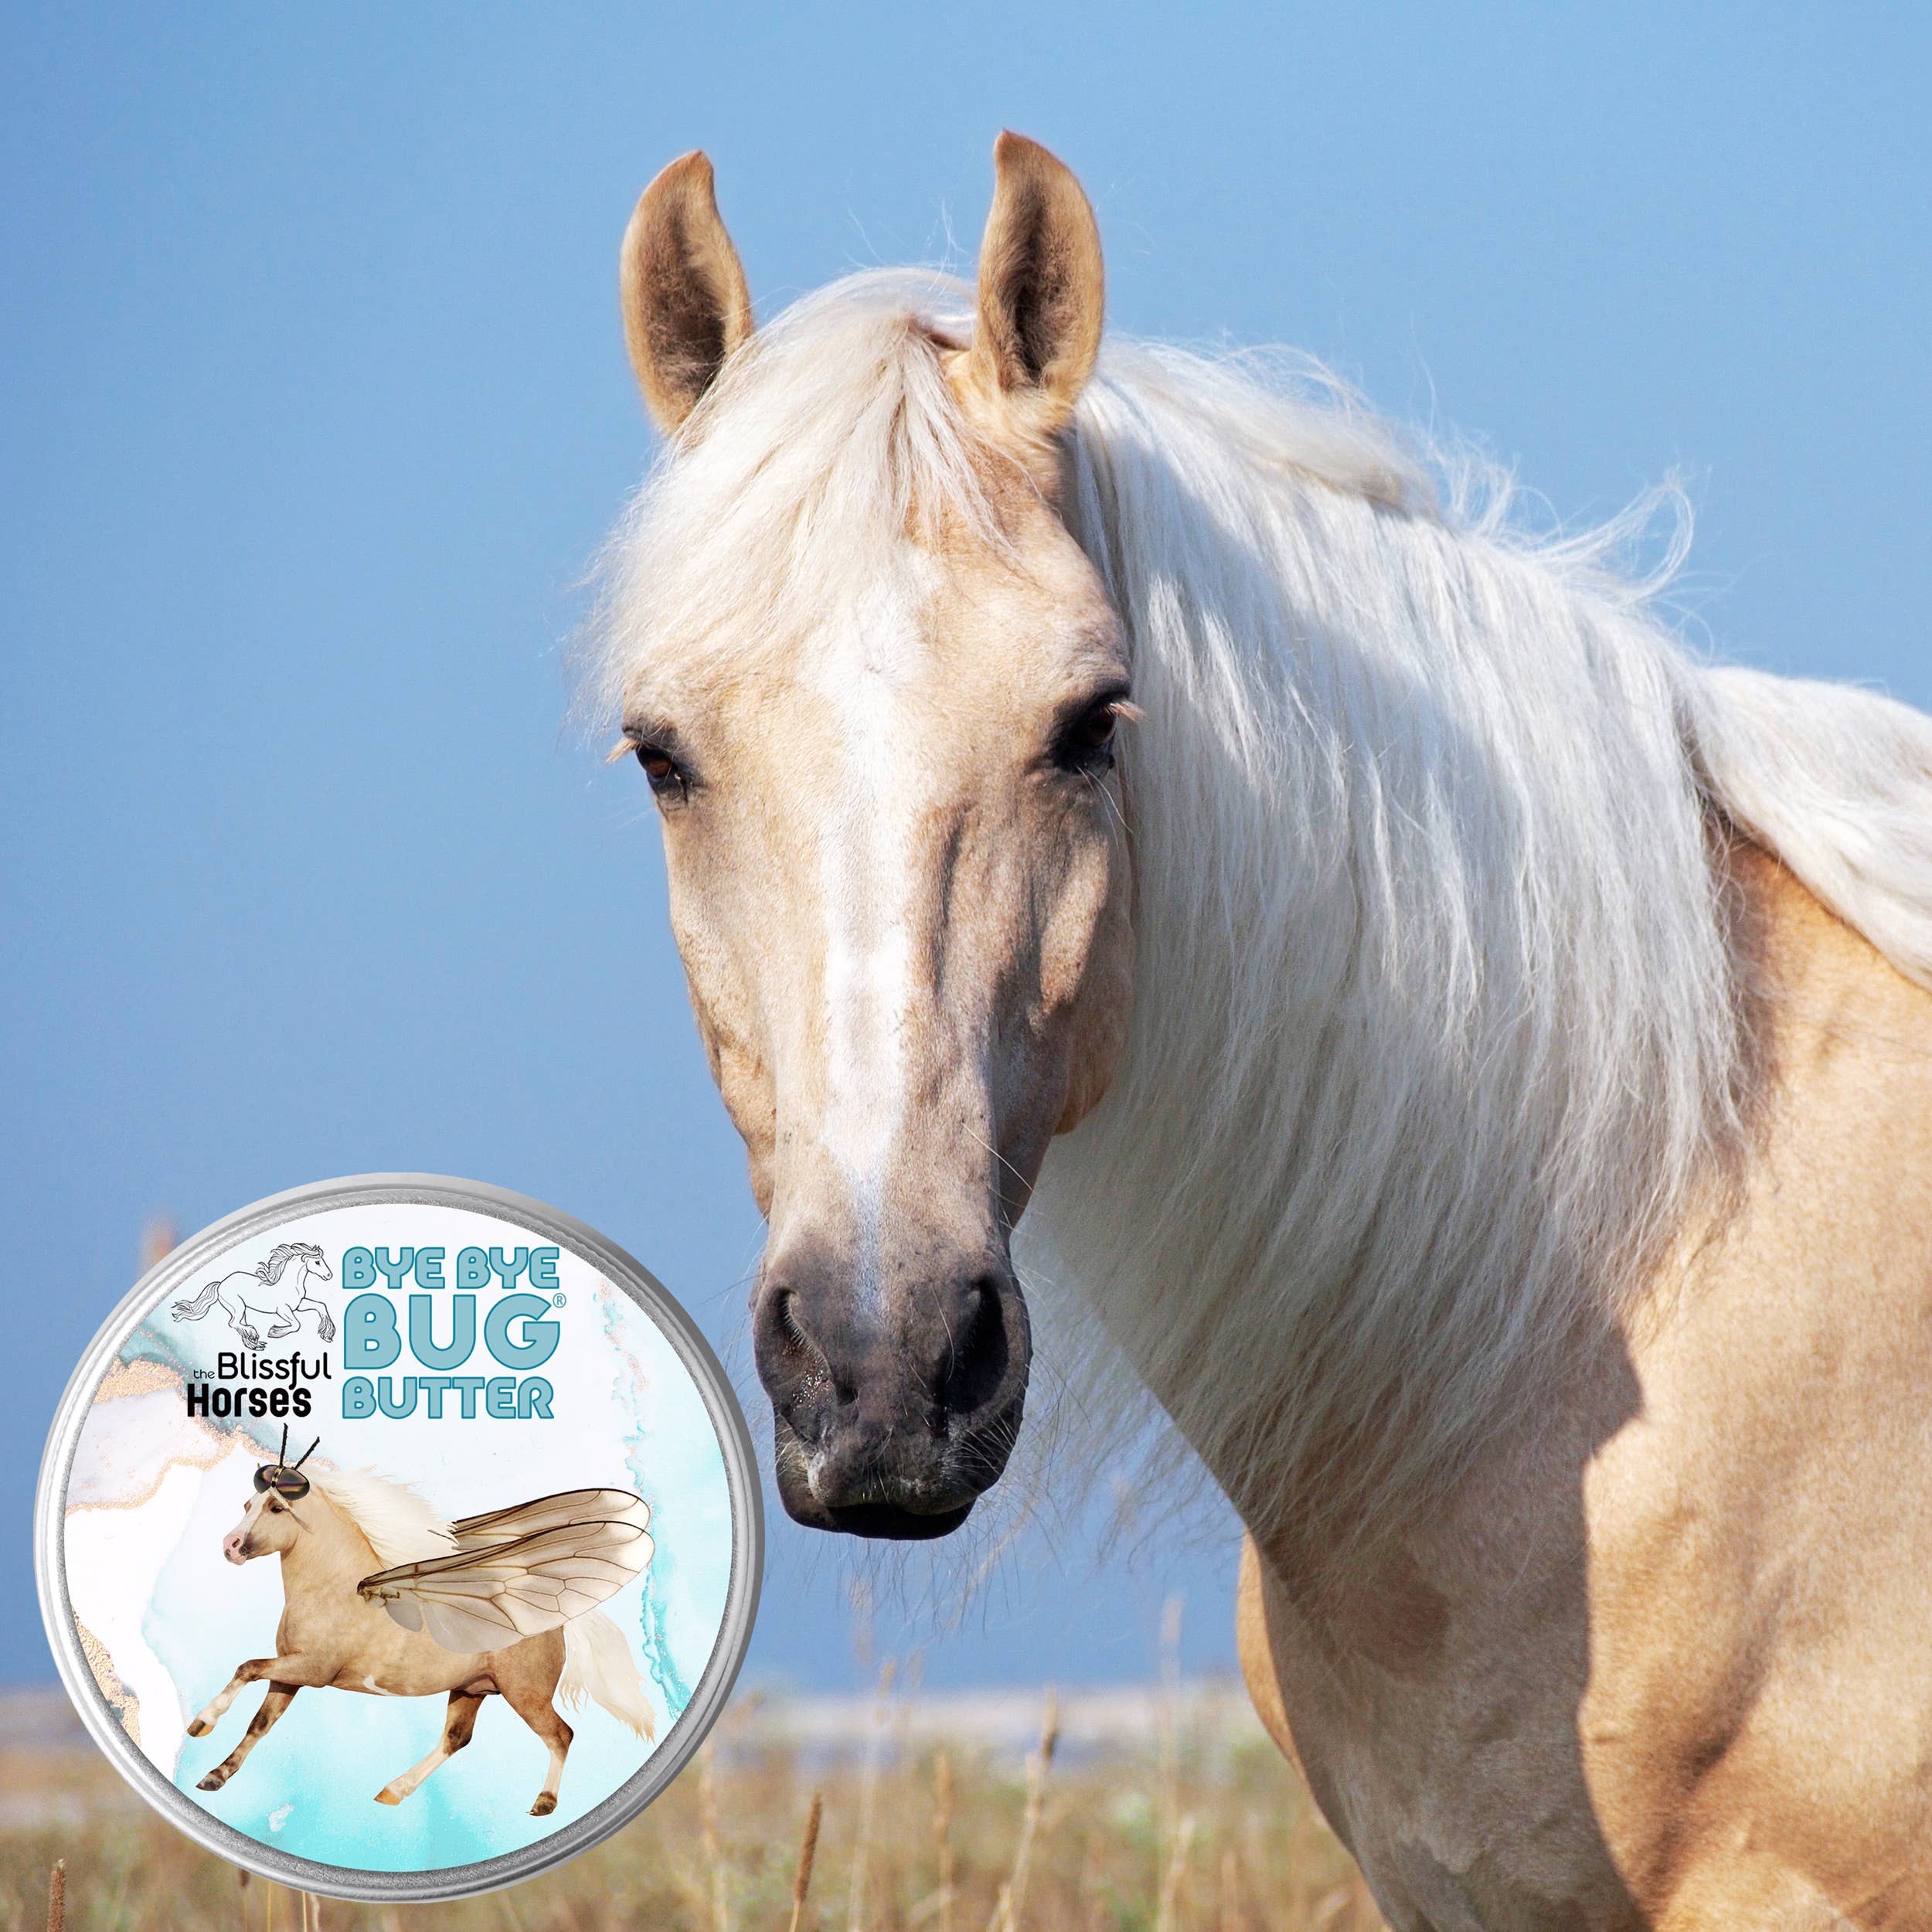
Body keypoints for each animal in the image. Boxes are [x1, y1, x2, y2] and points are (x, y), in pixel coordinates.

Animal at [171, 1241, 336, 1350]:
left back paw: (255, 1343)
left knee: (238, 1324)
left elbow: (321, 1306)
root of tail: (220, 1284)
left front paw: (327, 1335)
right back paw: (253, 1334)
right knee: (233, 1323)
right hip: (237, 1307)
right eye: (317, 1262)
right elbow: (297, 1324)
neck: (291, 1283)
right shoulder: (283, 1310)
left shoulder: (299, 1305)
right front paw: (274, 1332)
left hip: (242, 1309)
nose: (329, 1275)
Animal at [188, 1446, 655, 1816]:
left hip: (525, 1695)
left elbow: (247, 1667)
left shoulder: (311, 1670)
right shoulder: (290, 1673)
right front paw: (215, 1775)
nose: (230, 1546)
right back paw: (393, 1791)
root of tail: (557, 1624)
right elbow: (260, 1722)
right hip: (471, 1689)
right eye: (246, 1504)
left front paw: (201, 1723)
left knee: (560, 1735)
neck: (332, 1588)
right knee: (456, 1739)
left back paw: (544, 1803)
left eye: (277, 1509)